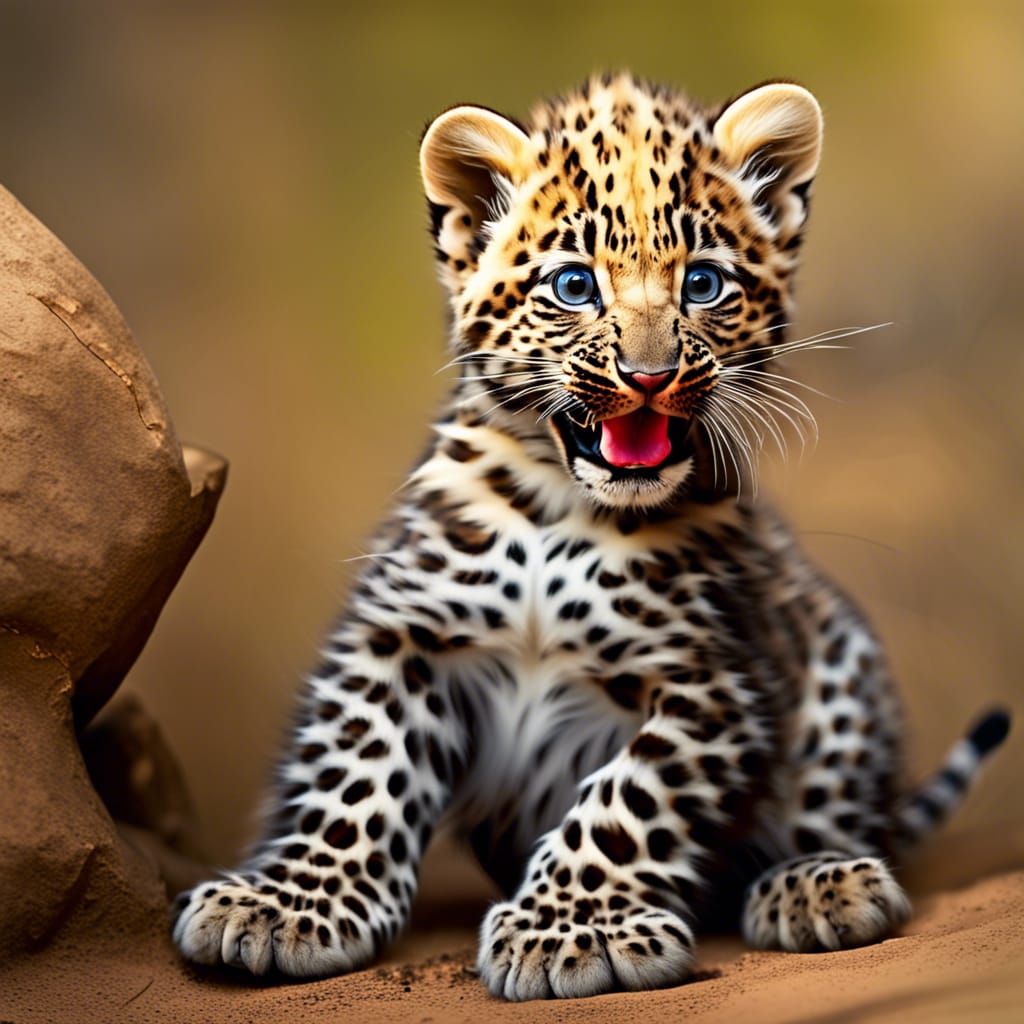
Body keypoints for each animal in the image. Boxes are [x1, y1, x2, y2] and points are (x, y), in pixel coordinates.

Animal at [173, 72, 1011, 1000]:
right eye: (574, 286)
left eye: (704, 283)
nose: (648, 378)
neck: (559, 511)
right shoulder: (404, 632)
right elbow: (355, 769)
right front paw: (286, 904)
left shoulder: (707, 679)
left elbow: (624, 802)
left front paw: (570, 933)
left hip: (838, 660)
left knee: (834, 809)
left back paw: (821, 881)